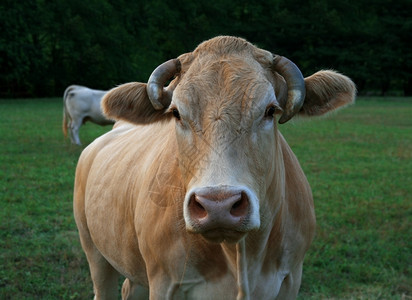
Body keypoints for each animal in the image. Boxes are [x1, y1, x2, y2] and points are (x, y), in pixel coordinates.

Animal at [75, 36, 358, 298]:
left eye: (270, 110)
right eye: (176, 113)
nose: (218, 205)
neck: (241, 257)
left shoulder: (291, 278)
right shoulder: (164, 282)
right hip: (94, 251)